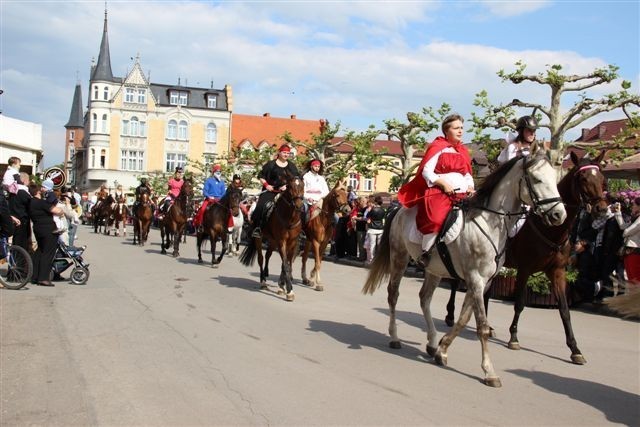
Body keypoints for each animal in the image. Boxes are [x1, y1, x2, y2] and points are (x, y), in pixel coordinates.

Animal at [362, 145, 568, 390]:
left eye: (555, 178)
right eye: (536, 179)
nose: (559, 215)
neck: (489, 222)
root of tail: (399, 210)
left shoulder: (482, 282)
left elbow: (464, 319)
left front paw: (442, 349)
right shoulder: (476, 279)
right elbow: (482, 326)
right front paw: (489, 372)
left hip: (434, 269)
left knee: (424, 298)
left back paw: (432, 342)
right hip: (399, 258)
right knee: (393, 294)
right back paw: (394, 337)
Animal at [444, 150, 604, 364]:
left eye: (602, 179)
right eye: (583, 178)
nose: (602, 209)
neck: (550, 230)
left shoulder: (557, 271)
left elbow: (564, 310)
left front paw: (575, 348)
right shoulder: (524, 269)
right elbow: (519, 303)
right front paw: (513, 337)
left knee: (485, 293)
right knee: (455, 283)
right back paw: (450, 315)